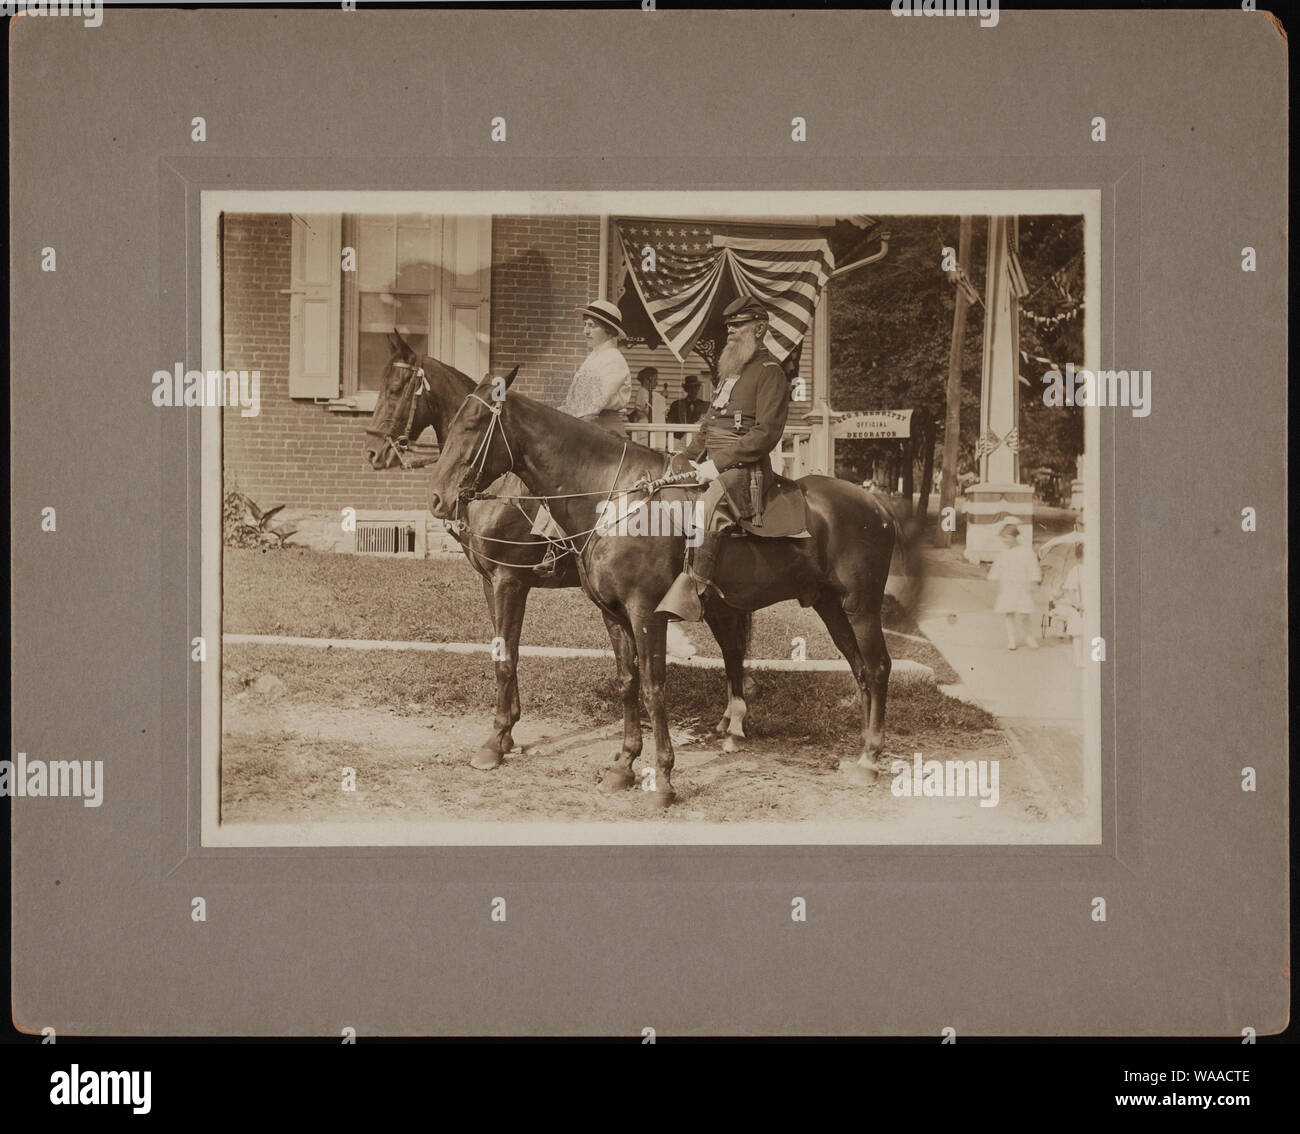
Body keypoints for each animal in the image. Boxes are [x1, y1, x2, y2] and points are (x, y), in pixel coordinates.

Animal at [364, 331, 754, 764]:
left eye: (396, 388)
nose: (374, 452)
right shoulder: (490, 582)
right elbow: (503, 648)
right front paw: (507, 731)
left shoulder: (509, 581)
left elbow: (506, 657)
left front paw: (496, 739)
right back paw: (729, 721)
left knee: (733, 646)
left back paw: (735, 726)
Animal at [426, 369, 915, 806]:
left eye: (473, 424)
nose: (437, 497)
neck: (612, 499)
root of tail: (877, 505)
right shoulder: (611, 613)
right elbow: (626, 682)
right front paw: (623, 765)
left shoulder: (642, 611)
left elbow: (653, 687)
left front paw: (660, 777)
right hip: (831, 608)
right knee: (857, 670)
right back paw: (854, 750)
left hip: (861, 607)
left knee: (877, 668)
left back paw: (869, 758)